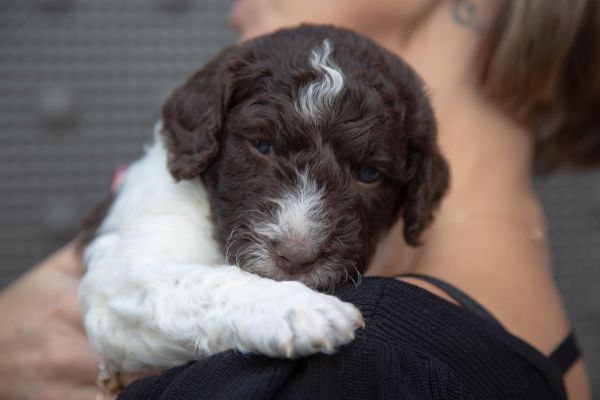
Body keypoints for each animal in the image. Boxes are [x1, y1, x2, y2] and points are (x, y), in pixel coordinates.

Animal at [77, 23, 448, 370]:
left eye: (370, 174)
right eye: (262, 145)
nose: (296, 257)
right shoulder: (119, 276)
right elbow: (200, 281)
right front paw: (298, 311)